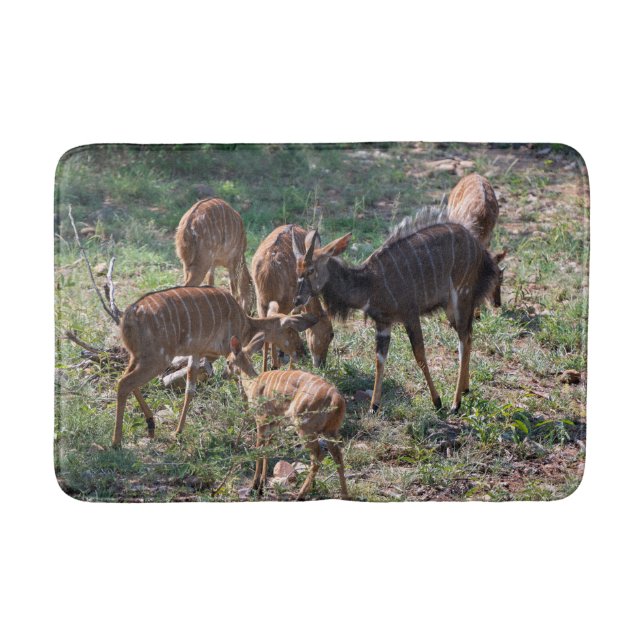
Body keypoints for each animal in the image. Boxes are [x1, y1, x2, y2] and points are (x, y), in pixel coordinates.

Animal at [112, 286, 317, 448]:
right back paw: (116, 442)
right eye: (291, 330)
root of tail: (129, 315)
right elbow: (241, 385)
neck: (245, 325)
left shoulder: (196, 353)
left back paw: (151, 425)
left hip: (137, 356)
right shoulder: (229, 350)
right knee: (124, 383)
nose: (300, 352)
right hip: (157, 358)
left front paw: (178, 431)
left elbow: (190, 390)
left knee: (123, 379)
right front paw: (250, 420)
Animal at [225, 335, 349, 500]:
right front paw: (262, 485)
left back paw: (299, 495)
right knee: (338, 456)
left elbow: (259, 448)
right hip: (331, 431)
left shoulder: (261, 419)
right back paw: (345, 495)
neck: (252, 383)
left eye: (227, 361)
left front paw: (254, 486)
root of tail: (337, 399)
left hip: (304, 428)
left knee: (318, 456)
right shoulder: (274, 423)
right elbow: (267, 449)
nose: (223, 375)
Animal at [252, 224, 334, 370]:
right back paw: (276, 364)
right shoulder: (296, 303)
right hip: (283, 302)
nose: (322, 364)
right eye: (331, 334)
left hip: (261, 301)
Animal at [293, 212, 499, 414]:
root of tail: (477, 246)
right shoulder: (383, 323)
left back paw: (456, 404)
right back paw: (465, 389)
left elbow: (420, 355)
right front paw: (373, 406)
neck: (368, 284)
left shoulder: (410, 315)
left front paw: (437, 401)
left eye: (311, 269)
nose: (297, 299)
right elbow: (380, 359)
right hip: (451, 307)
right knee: (467, 336)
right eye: (297, 269)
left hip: (461, 296)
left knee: (463, 339)